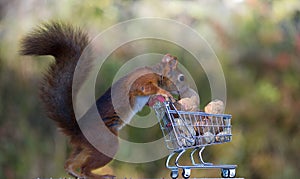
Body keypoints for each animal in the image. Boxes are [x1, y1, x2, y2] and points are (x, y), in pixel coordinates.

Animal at [20, 22, 192, 179]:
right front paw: (164, 93)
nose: (184, 93)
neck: (157, 72)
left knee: (70, 164)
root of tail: (78, 132)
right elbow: (144, 87)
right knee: (86, 169)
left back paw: (73, 171)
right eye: (181, 78)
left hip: (85, 149)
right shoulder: (142, 80)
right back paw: (100, 175)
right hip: (107, 144)